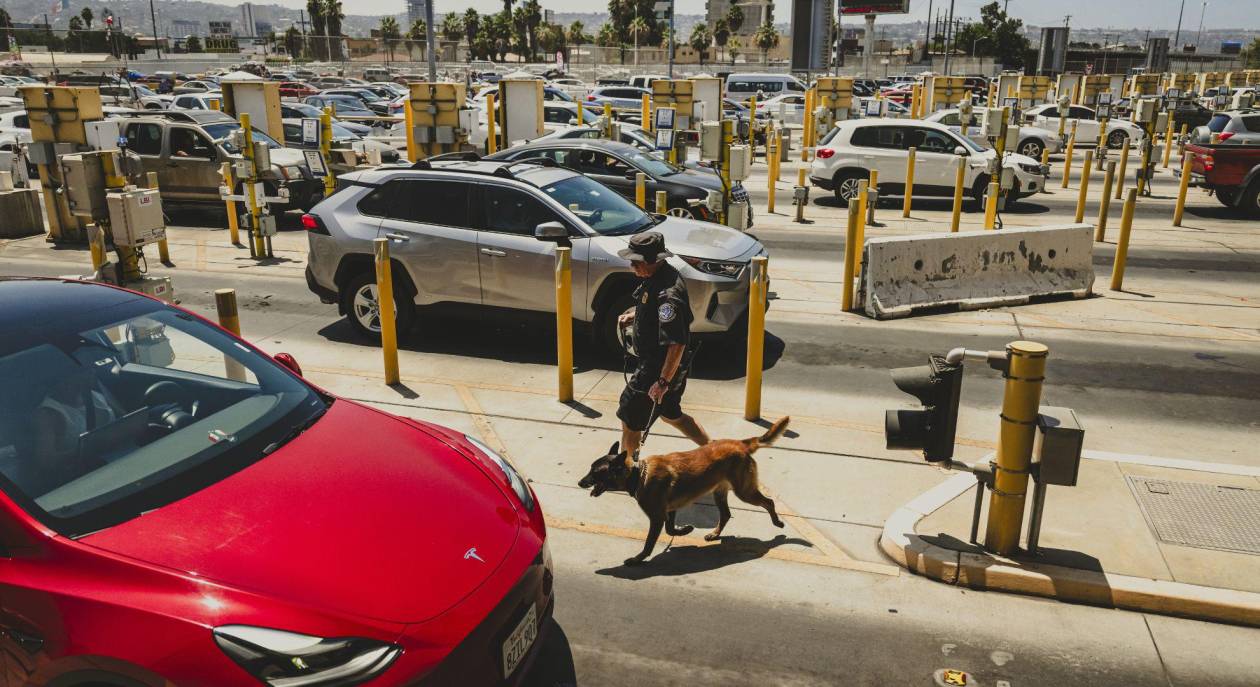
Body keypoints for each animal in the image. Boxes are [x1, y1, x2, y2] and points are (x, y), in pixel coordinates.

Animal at [577, 415, 791, 564]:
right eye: (590, 469)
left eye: (595, 472)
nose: (579, 482)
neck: (639, 475)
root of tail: (741, 443)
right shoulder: (669, 511)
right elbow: (671, 529)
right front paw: (685, 530)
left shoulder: (657, 518)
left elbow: (649, 543)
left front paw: (638, 559)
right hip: (719, 492)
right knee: (726, 514)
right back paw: (715, 534)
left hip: (744, 491)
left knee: (768, 502)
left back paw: (777, 522)